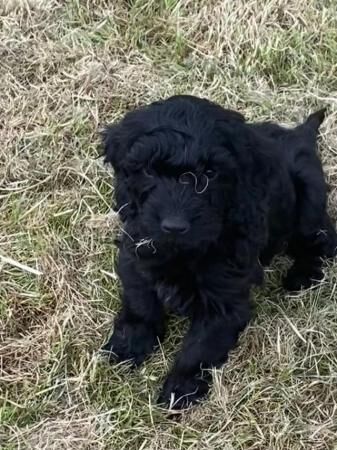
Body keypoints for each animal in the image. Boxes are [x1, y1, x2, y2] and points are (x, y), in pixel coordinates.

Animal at [100, 96, 336, 410]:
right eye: (149, 170)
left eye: (210, 174)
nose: (174, 226)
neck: (183, 253)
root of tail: (300, 135)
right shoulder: (137, 253)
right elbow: (140, 301)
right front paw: (129, 345)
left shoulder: (225, 299)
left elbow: (201, 345)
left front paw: (181, 387)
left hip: (309, 200)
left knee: (324, 238)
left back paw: (303, 274)